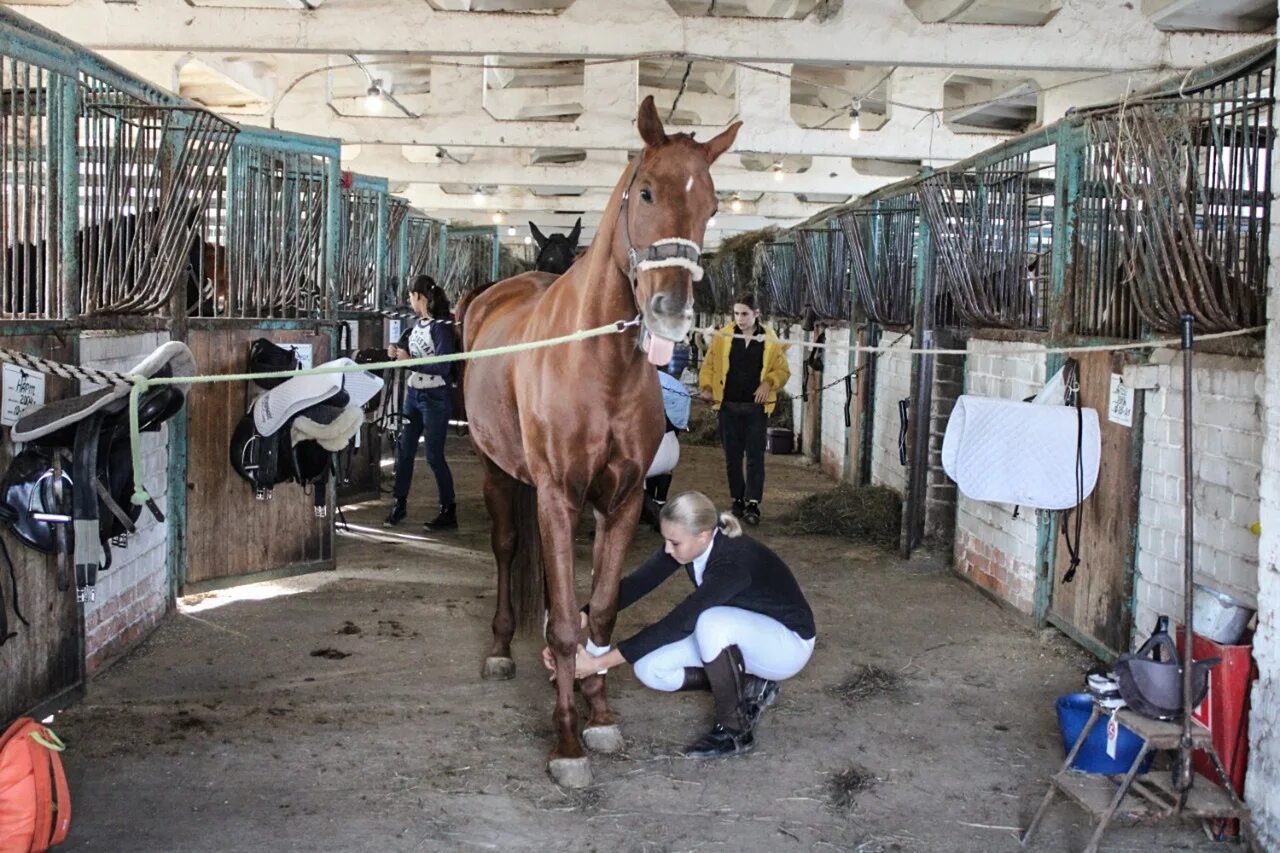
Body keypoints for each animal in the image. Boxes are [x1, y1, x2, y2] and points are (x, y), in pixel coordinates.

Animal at [460, 97, 742, 783]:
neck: (599, 366)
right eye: (645, 192)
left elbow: (602, 614)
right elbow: (566, 622)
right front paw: (566, 742)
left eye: (711, 205)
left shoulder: (621, 500)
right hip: (498, 471)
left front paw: (600, 715)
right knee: (507, 549)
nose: (671, 312)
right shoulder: (559, 496)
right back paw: (502, 646)